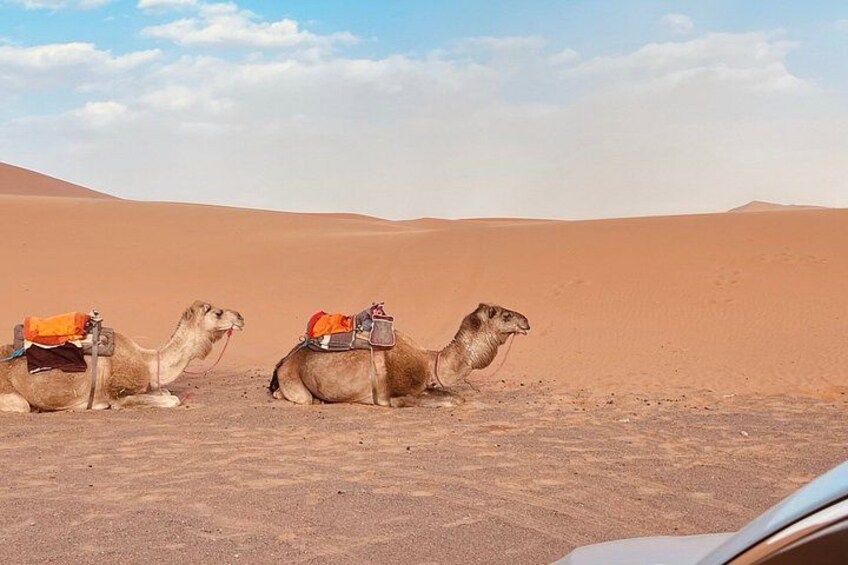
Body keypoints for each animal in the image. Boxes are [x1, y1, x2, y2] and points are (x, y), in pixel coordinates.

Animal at [0, 301, 244, 413]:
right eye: (217, 312)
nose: (241, 317)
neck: (147, 361)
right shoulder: (119, 395)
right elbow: (172, 399)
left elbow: (166, 392)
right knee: (22, 405)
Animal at [270, 303, 529, 408]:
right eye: (505, 316)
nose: (526, 321)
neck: (431, 363)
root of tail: (284, 361)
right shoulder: (395, 396)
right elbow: (452, 400)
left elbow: (457, 396)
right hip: (293, 380)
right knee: (297, 397)